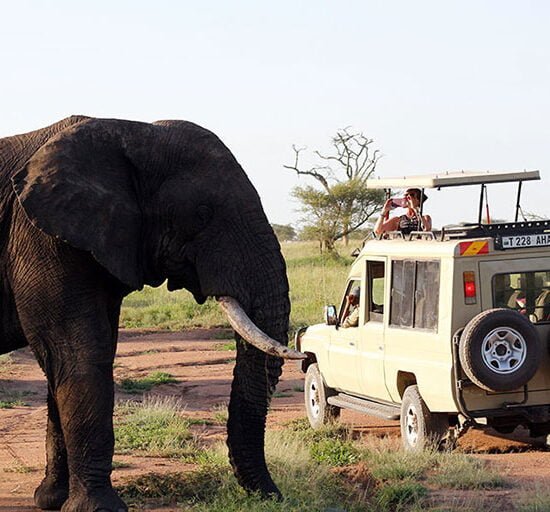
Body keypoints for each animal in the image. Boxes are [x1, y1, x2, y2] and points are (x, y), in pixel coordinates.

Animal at [0, 116, 306, 512]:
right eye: (201, 215)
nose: (275, 496)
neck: (132, 131)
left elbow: (68, 361)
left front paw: (51, 500)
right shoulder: (38, 238)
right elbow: (77, 353)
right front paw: (99, 508)